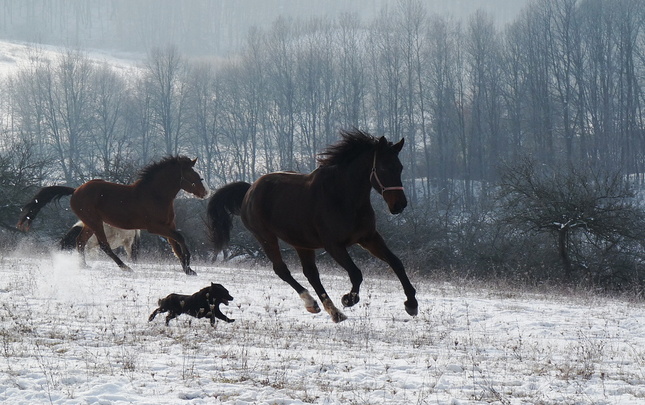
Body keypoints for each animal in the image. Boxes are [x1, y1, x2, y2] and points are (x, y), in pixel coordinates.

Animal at [17, 155, 208, 274]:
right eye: (192, 175)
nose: (205, 192)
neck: (155, 195)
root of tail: (76, 191)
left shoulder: (168, 226)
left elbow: (175, 244)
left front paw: (188, 269)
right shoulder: (155, 227)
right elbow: (180, 238)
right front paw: (188, 263)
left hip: (89, 223)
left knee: (80, 242)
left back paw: (84, 266)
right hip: (95, 222)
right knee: (104, 245)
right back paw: (125, 267)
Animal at [206, 129, 418, 322]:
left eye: (400, 167)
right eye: (382, 168)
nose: (399, 205)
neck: (344, 197)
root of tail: (249, 190)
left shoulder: (368, 238)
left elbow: (396, 263)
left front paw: (411, 304)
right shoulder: (334, 245)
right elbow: (356, 273)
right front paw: (348, 299)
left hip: (302, 243)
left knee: (311, 274)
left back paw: (331, 311)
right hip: (266, 237)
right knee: (282, 270)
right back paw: (315, 304)